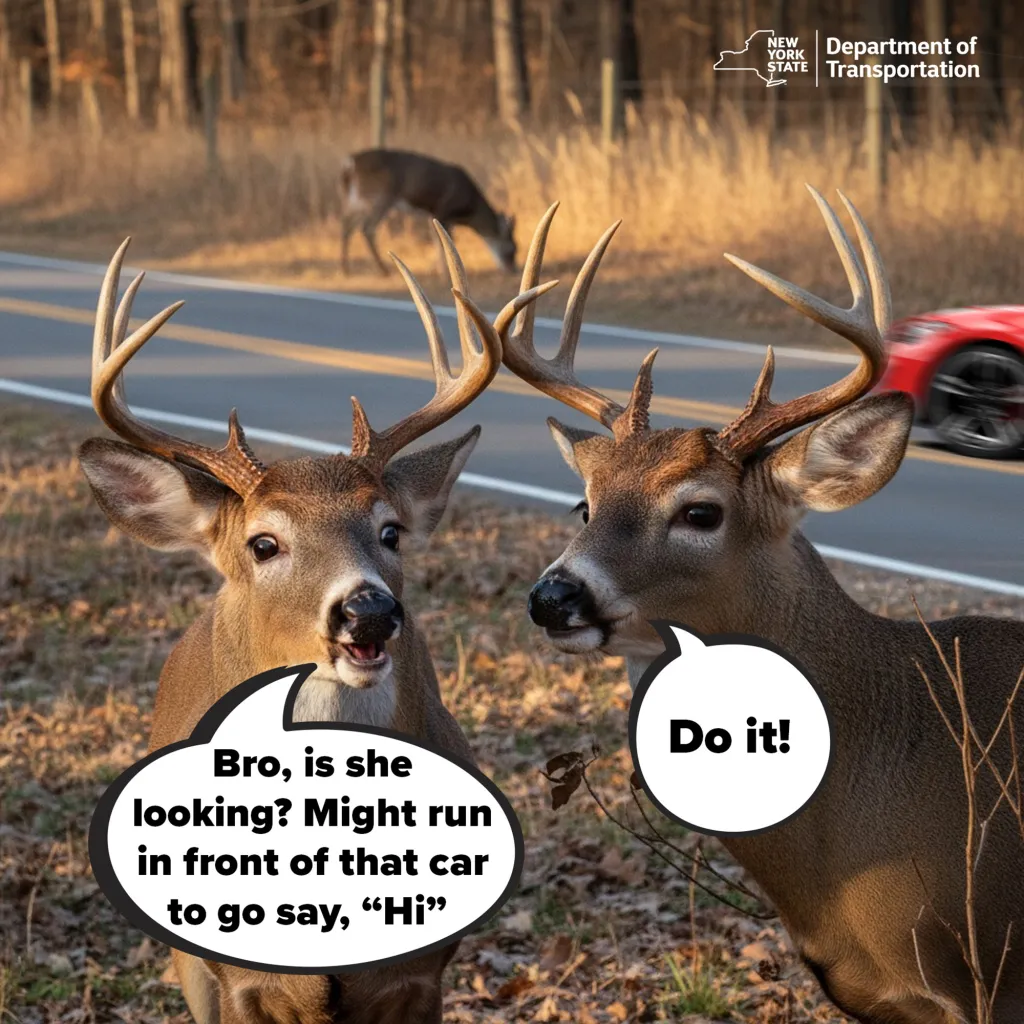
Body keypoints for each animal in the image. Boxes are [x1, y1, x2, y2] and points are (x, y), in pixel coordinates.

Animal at [340, 149, 517, 278]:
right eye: (512, 249)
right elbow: (443, 241)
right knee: (367, 228)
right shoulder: (443, 210)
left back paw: (346, 270)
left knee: (346, 225)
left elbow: (439, 239)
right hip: (379, 197)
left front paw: (437, 269)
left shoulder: (436, 215)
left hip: (357, 200)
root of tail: (350, 163)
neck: (469, 209)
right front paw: (444, 273)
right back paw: (384, 270)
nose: (513, 270)